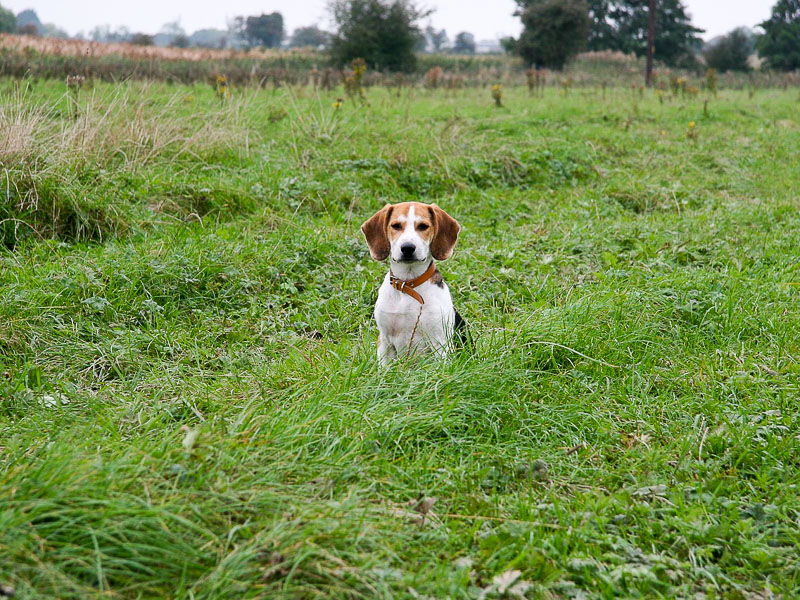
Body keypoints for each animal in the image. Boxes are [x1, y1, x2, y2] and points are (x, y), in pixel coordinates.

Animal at [360, 202, 466, 364]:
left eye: (423, 226)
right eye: (396, 226)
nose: (408, 247)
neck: (407, 284)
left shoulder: (440, 343)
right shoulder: (384, 341)